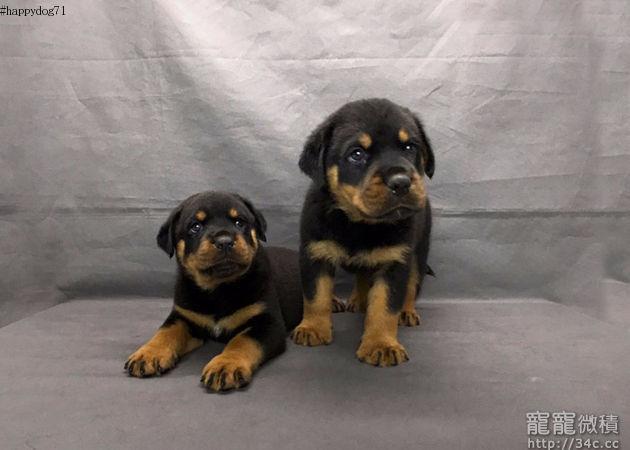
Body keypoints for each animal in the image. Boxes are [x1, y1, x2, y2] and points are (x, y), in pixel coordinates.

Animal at [125, 191, 303, 392]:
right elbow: (166, 332)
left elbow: (242, 341)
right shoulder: (184, 316)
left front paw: (225, 365)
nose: (224, 241)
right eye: (195, 227)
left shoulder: (268, 323)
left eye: (239, 222)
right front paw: (148, 353)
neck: (219, 290)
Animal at [291, 98, 435, 367]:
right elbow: (316, 296)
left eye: (409, 147)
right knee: (361, 276)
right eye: (357, 154)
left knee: (412, 284)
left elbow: (385, 307)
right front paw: (313, 328)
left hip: (419, 252)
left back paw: (407, 311)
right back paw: (356, 300)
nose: (401, 182)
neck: (359, 223)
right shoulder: (315, 253)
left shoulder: (394, 261)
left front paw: (381, 344)